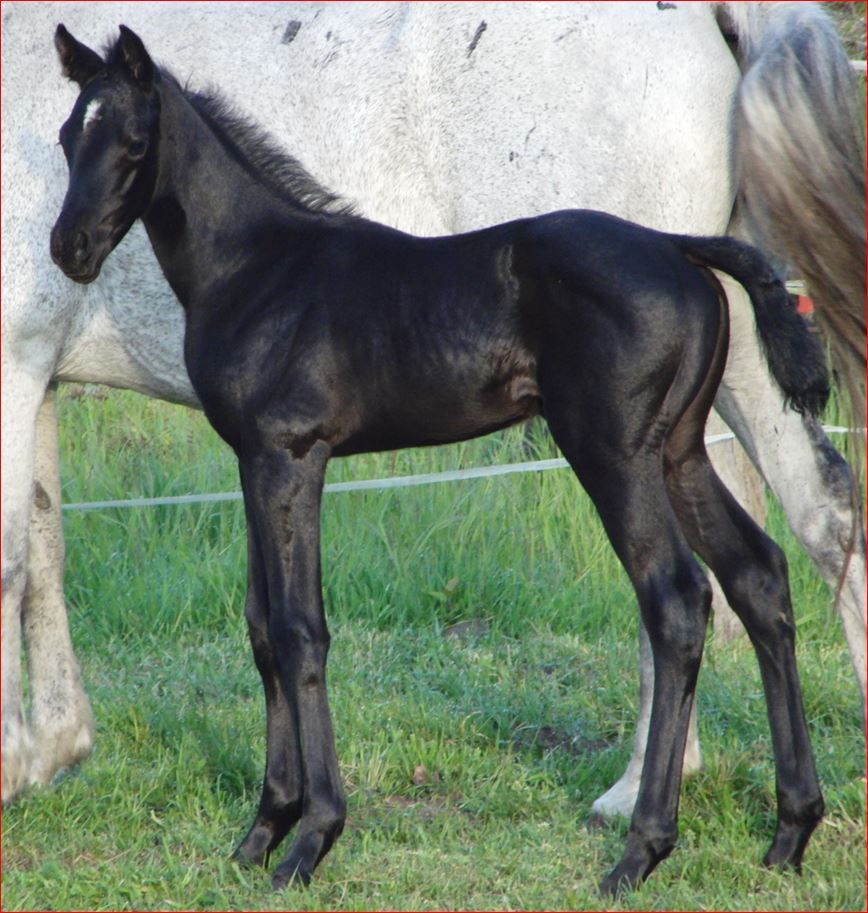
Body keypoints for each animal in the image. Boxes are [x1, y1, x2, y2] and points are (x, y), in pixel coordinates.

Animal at [49, 25, 828, 896]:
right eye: (68, 137)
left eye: (133, 142)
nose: (69, 249)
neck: (258, 266)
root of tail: (675, 245)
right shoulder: (253, 459)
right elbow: (259, 626)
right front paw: (259, 832)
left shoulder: (292, 456)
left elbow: (298, 627)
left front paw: (311, 837)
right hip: (680, 449)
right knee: (757, 575)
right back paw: (791, 830)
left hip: (614, 452)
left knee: (678, 598)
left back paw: (640, 849)